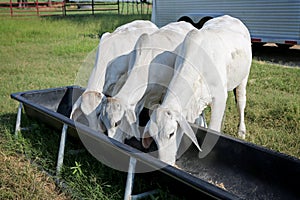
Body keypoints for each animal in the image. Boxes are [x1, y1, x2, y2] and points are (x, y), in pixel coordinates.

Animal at [142, 15, 252, 165]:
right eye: (153, 138)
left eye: (171, 133)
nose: (165, 162)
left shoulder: (219, 96)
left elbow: (213, 128)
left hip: (243, 78)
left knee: (241, 102)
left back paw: (241, 131)